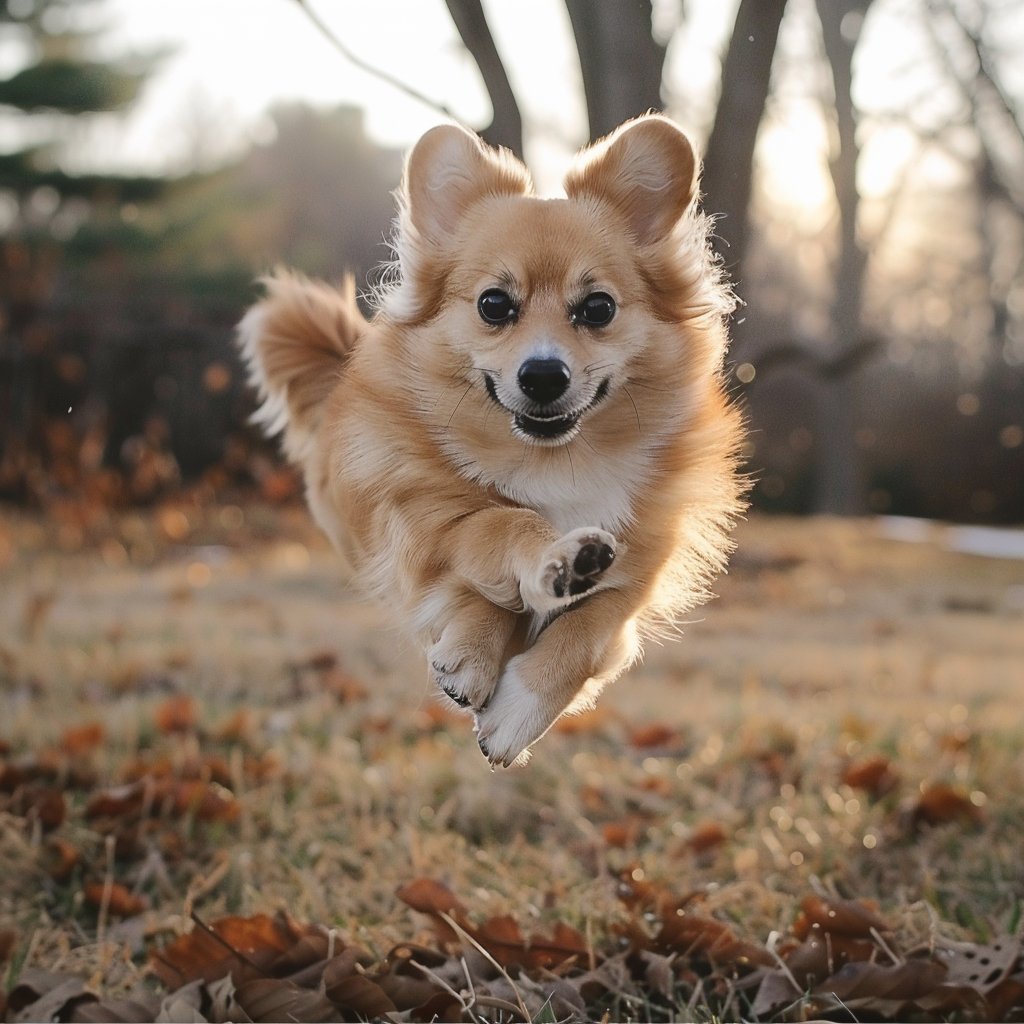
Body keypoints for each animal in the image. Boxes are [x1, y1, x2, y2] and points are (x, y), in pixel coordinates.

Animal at [240, 116, 753, 765]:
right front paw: (520, 602)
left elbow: (588, 631)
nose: (543, 374)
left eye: (598, 307)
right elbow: (501, 527)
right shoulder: (428, 521)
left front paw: (516, 714)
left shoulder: (642, 564)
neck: (553, 461)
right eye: (494, 304)